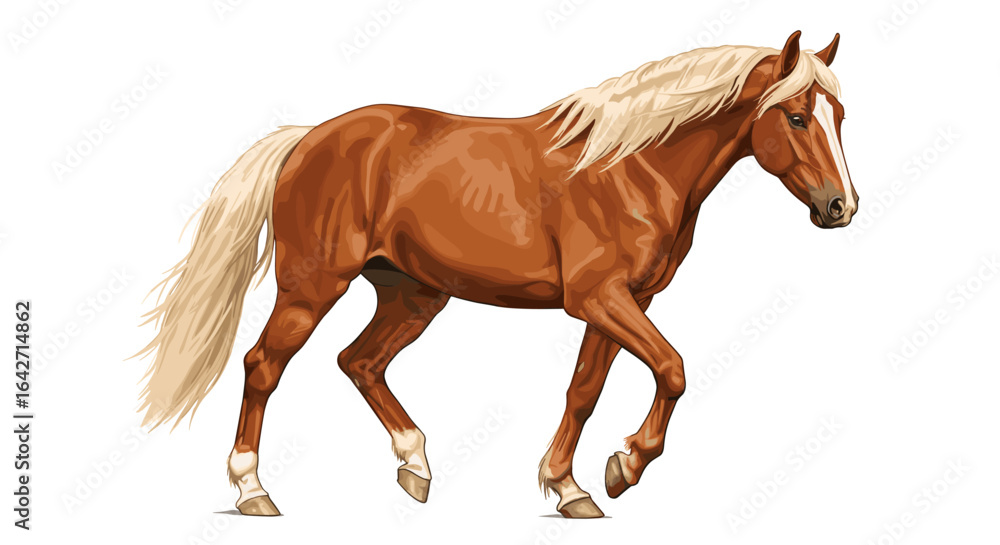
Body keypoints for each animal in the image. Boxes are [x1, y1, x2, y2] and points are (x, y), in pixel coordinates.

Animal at [136, 30, 857, 518]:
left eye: (840, 116)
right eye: (796, 117)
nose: (841, 207)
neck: (632, 164)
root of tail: (308, 138)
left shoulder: (625, 301)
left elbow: (584, 390)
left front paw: (570, 487)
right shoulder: (600, 298)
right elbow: (673, 368)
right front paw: (624, 465)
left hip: (413, 294)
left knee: (359, 361)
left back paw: (415, 465)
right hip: (313, 286)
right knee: (264, 364)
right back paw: (253, 489)